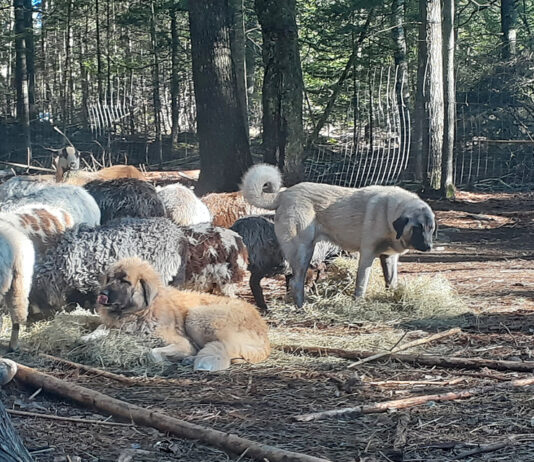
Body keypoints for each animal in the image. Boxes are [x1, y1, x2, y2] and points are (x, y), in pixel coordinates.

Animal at [84, 256, 272, 372]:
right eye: (109, 279)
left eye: (124, 281)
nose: (102, 294)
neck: (143, 311)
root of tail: (263, 330)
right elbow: (99, 330)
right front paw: (90, 336)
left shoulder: (182, 343)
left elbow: (152, 352)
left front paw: (163, 361)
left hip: (196, 317)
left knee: (226, 348)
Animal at [241, 164, 438, 308]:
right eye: (417, 228)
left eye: (430, 228)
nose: (428, 247)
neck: (389, 213)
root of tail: (283, 194)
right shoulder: (367, 255)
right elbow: (361, 283)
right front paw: (358, 303)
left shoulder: (389, 258)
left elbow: (391, 281)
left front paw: (394, 296)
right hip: (303, 252)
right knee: (296, 283)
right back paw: (302, 307)